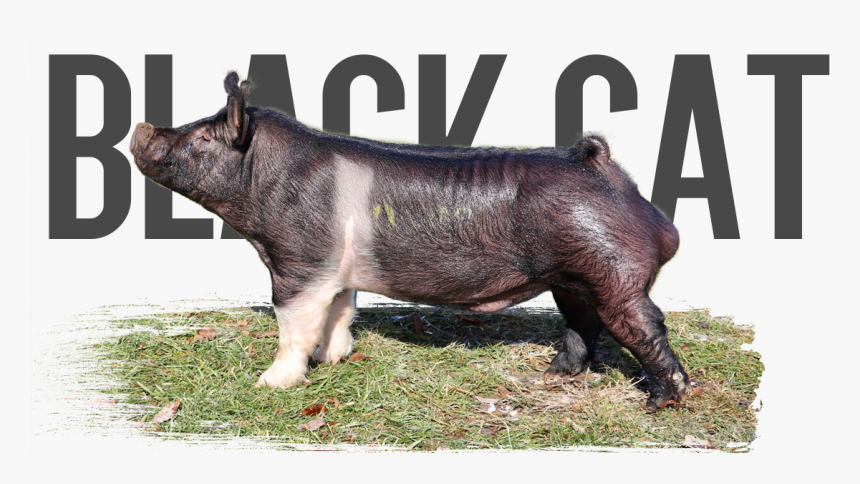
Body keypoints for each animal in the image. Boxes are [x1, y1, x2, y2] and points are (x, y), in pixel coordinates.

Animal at [130, 72, 688, 410]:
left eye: (204, 138)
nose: (141, 126)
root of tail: (600, 164)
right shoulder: (336, 270)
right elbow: (340, 311)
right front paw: (333, 359)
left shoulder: (298, 261)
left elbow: (293, 324)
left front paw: (269, 384)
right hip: (572, 277)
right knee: (582, 322)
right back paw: (554, 375)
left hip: (612, 271)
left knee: (644, 326)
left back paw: (661, 402)